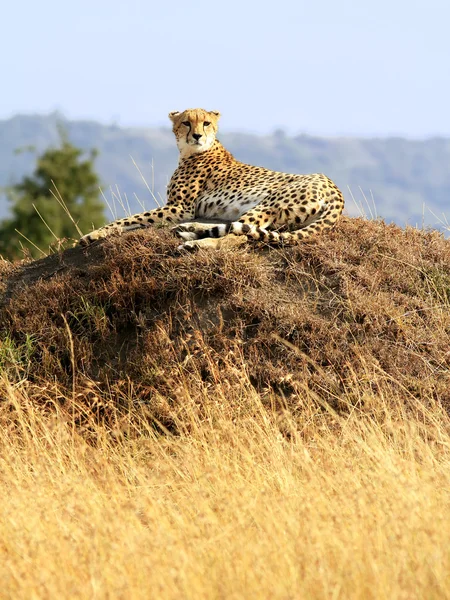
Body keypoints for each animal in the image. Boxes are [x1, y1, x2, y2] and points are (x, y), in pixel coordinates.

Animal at [79, 108, 342, 248]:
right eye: (186, 123)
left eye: (206, 123)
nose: (197, 135)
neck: (192, 151)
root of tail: (334, 187)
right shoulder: (178, 208)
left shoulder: (180, 207)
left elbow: (129, 218)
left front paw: (91, 235)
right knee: (239, 229)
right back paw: (190, 232)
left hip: (269, 203)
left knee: (236, 235)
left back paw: (194, 241)